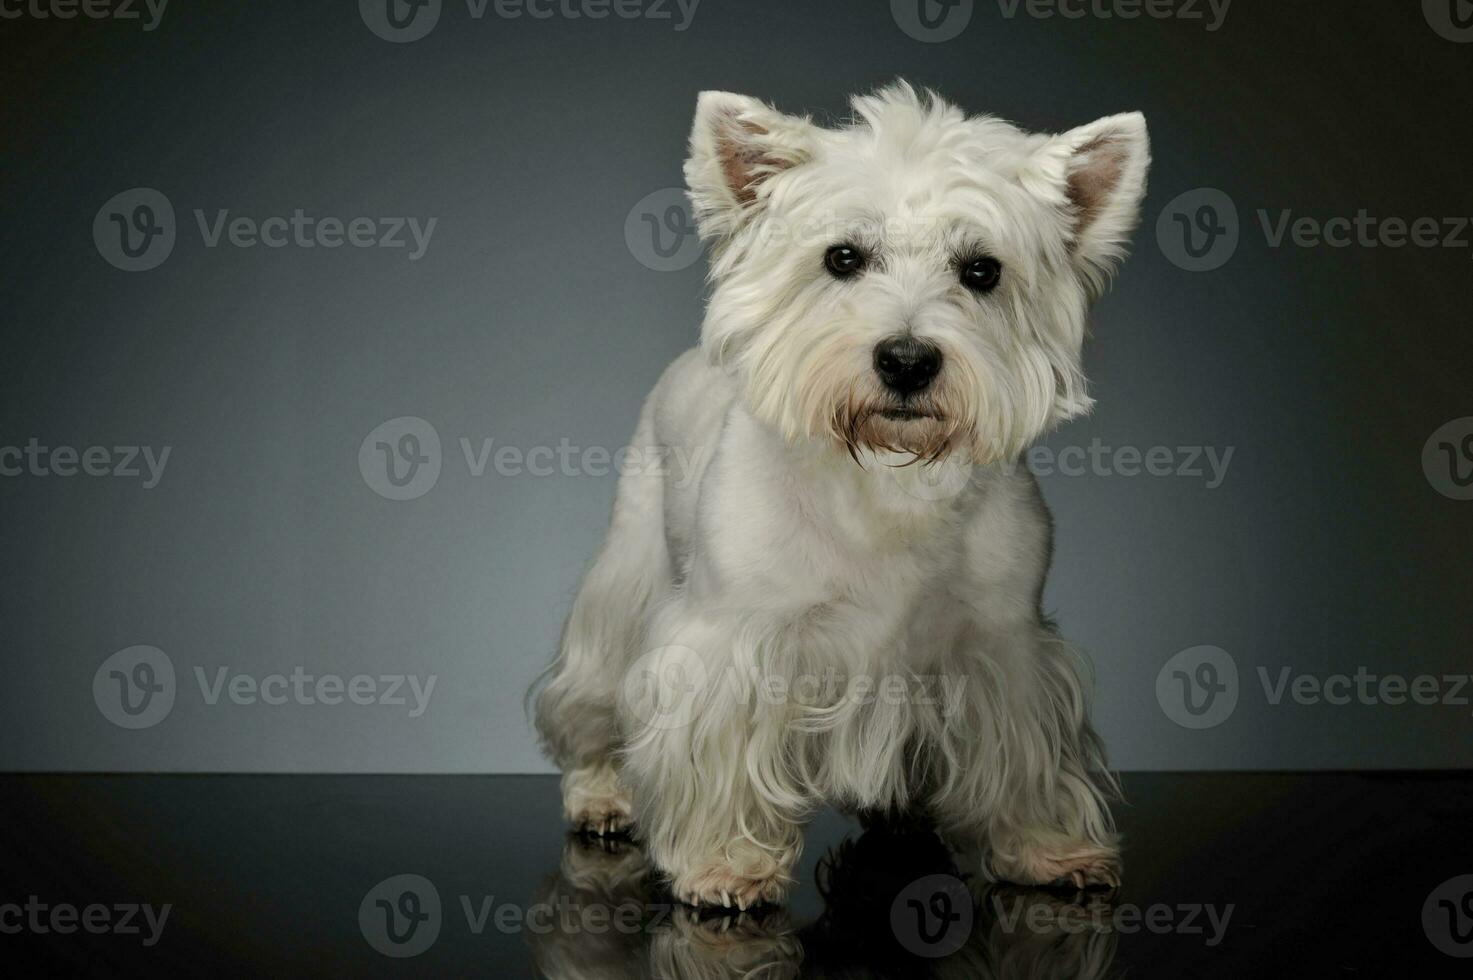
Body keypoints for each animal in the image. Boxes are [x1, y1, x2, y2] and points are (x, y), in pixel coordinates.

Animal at [536, 82, 1154, 907]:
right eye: (843, 258)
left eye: (981, 271)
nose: (907, 360)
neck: (886, 476)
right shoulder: (730, 639)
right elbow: (714, 748)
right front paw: (725, 863)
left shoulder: (1001, 645)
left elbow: (1024, 751)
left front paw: (1046, 848)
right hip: (627, 572)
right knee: (595, 700)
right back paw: (601, 793)